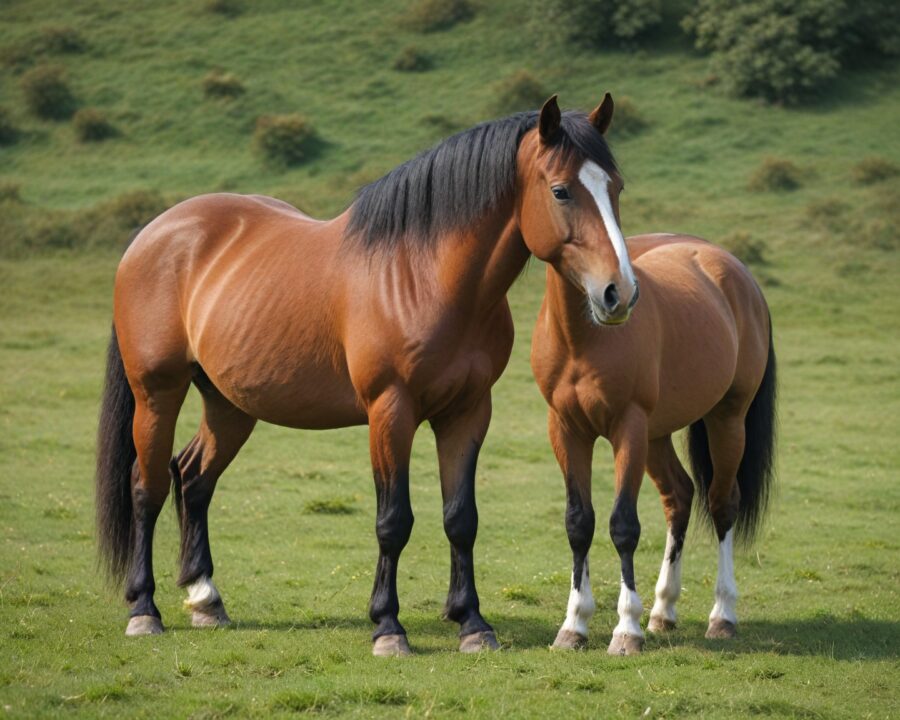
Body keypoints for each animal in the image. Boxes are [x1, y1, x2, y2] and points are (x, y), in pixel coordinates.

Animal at [95, 93, 638, 656]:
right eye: (561, 190)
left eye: (616, 186)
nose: (618, 292)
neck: (425, 277)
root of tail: (153, 235)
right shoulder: (390, 410)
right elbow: (393, 521)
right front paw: (388, 626)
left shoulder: (467, 411)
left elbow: (460, 518)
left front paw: (471, 622)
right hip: (156, 393)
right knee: (147, 486)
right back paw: (144, 609)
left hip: (229, 404)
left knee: (194, 477)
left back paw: (206, 599)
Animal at [531, 233, 776, 655]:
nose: (616, 294)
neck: (585, 339)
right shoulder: (565, 430)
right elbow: (579, 522)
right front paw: (574, 625)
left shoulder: (628, 428)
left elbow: (623, 525)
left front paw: (626, 629)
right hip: (656, 435)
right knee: (679, 495)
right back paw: (664, 609)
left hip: (726, 419)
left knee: (722, 503)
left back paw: (722, 614)